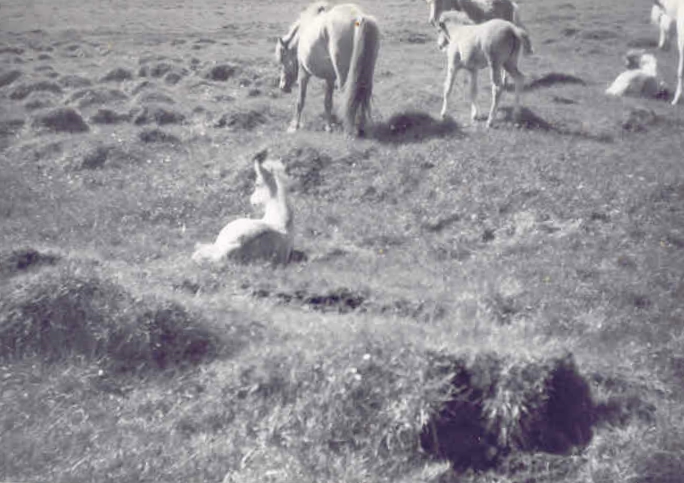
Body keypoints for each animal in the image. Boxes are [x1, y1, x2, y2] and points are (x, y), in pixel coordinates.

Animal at [275, 2, 380, 135]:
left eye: (282, 59)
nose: (282, 87)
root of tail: (359, 17)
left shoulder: (304, 73)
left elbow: (300, 100)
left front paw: (294, 125)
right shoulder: (330, 78)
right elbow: (328, 102)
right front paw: (328, 126)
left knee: (348, 93)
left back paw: (349, 128)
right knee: (363, 91)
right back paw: (360, 127)